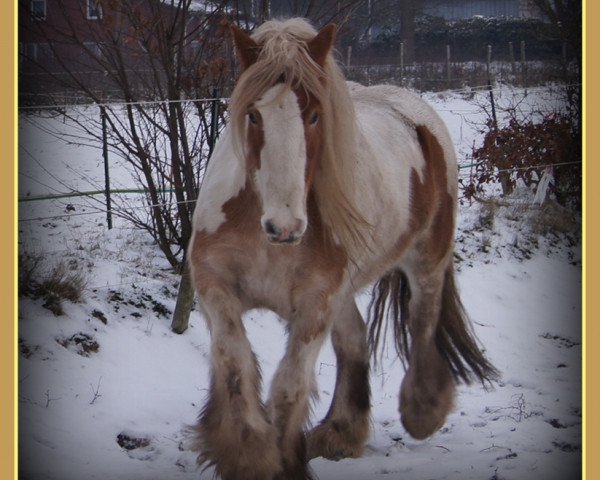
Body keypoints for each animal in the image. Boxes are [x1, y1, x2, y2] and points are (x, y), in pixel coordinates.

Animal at [188, 16, 496, 480]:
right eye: (253, 115)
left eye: (315, 115)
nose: (285, 226)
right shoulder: (215, 286)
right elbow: (235, 365)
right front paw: (248, 454)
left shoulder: (316, 304)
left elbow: (289, 386)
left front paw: (280, 462)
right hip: (345, 292)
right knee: (355, 340)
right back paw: (340, 432)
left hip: (426, 259)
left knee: (423, 319)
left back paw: (422, 410)